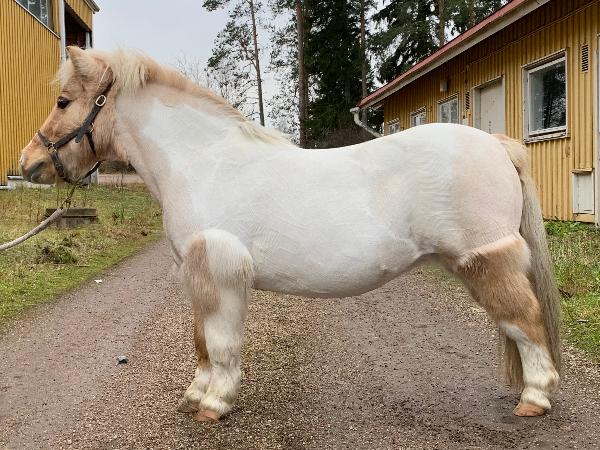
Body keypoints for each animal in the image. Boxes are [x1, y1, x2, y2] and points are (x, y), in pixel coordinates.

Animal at [19, 46, 561, 422]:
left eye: (64, 101)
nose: (30, 163)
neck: (205, 161)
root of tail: (496, 143)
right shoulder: (197, 274)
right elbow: (201, 341)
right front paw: (196, 393)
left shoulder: (221, 270)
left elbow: (221, 344)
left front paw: (215, 404)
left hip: (485, 261)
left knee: (525, 322)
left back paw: (534, 399)